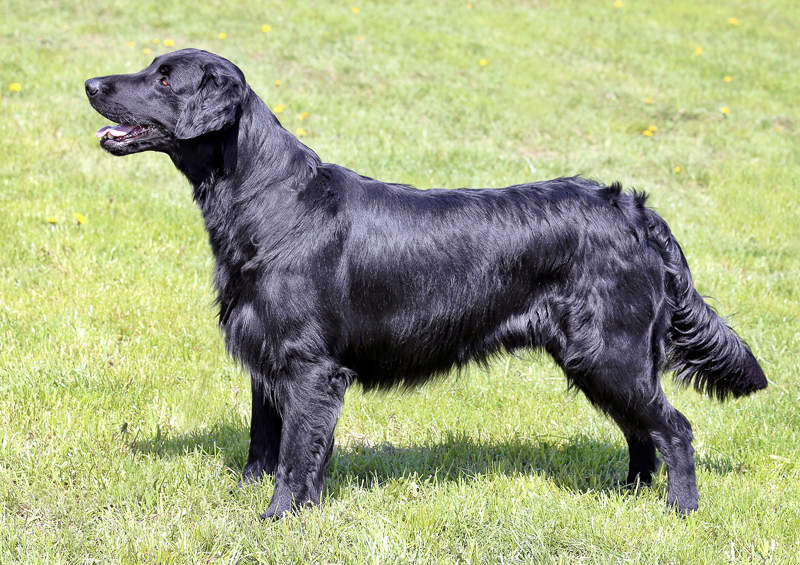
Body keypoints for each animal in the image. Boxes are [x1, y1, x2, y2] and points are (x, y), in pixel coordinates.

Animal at [84, 48, 764, 516]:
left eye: (165, 78)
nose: (90, 83)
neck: (268, 200)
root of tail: (637, 212)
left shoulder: (310, 366)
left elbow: (297, 456)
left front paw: (280, 519)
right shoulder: (267, 358)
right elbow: (265, 443)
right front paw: (257, 503)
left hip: (610, 353)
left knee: (674, 428)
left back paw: (679, 508)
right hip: (599, 360)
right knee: (642, 431)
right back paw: (625, 497)